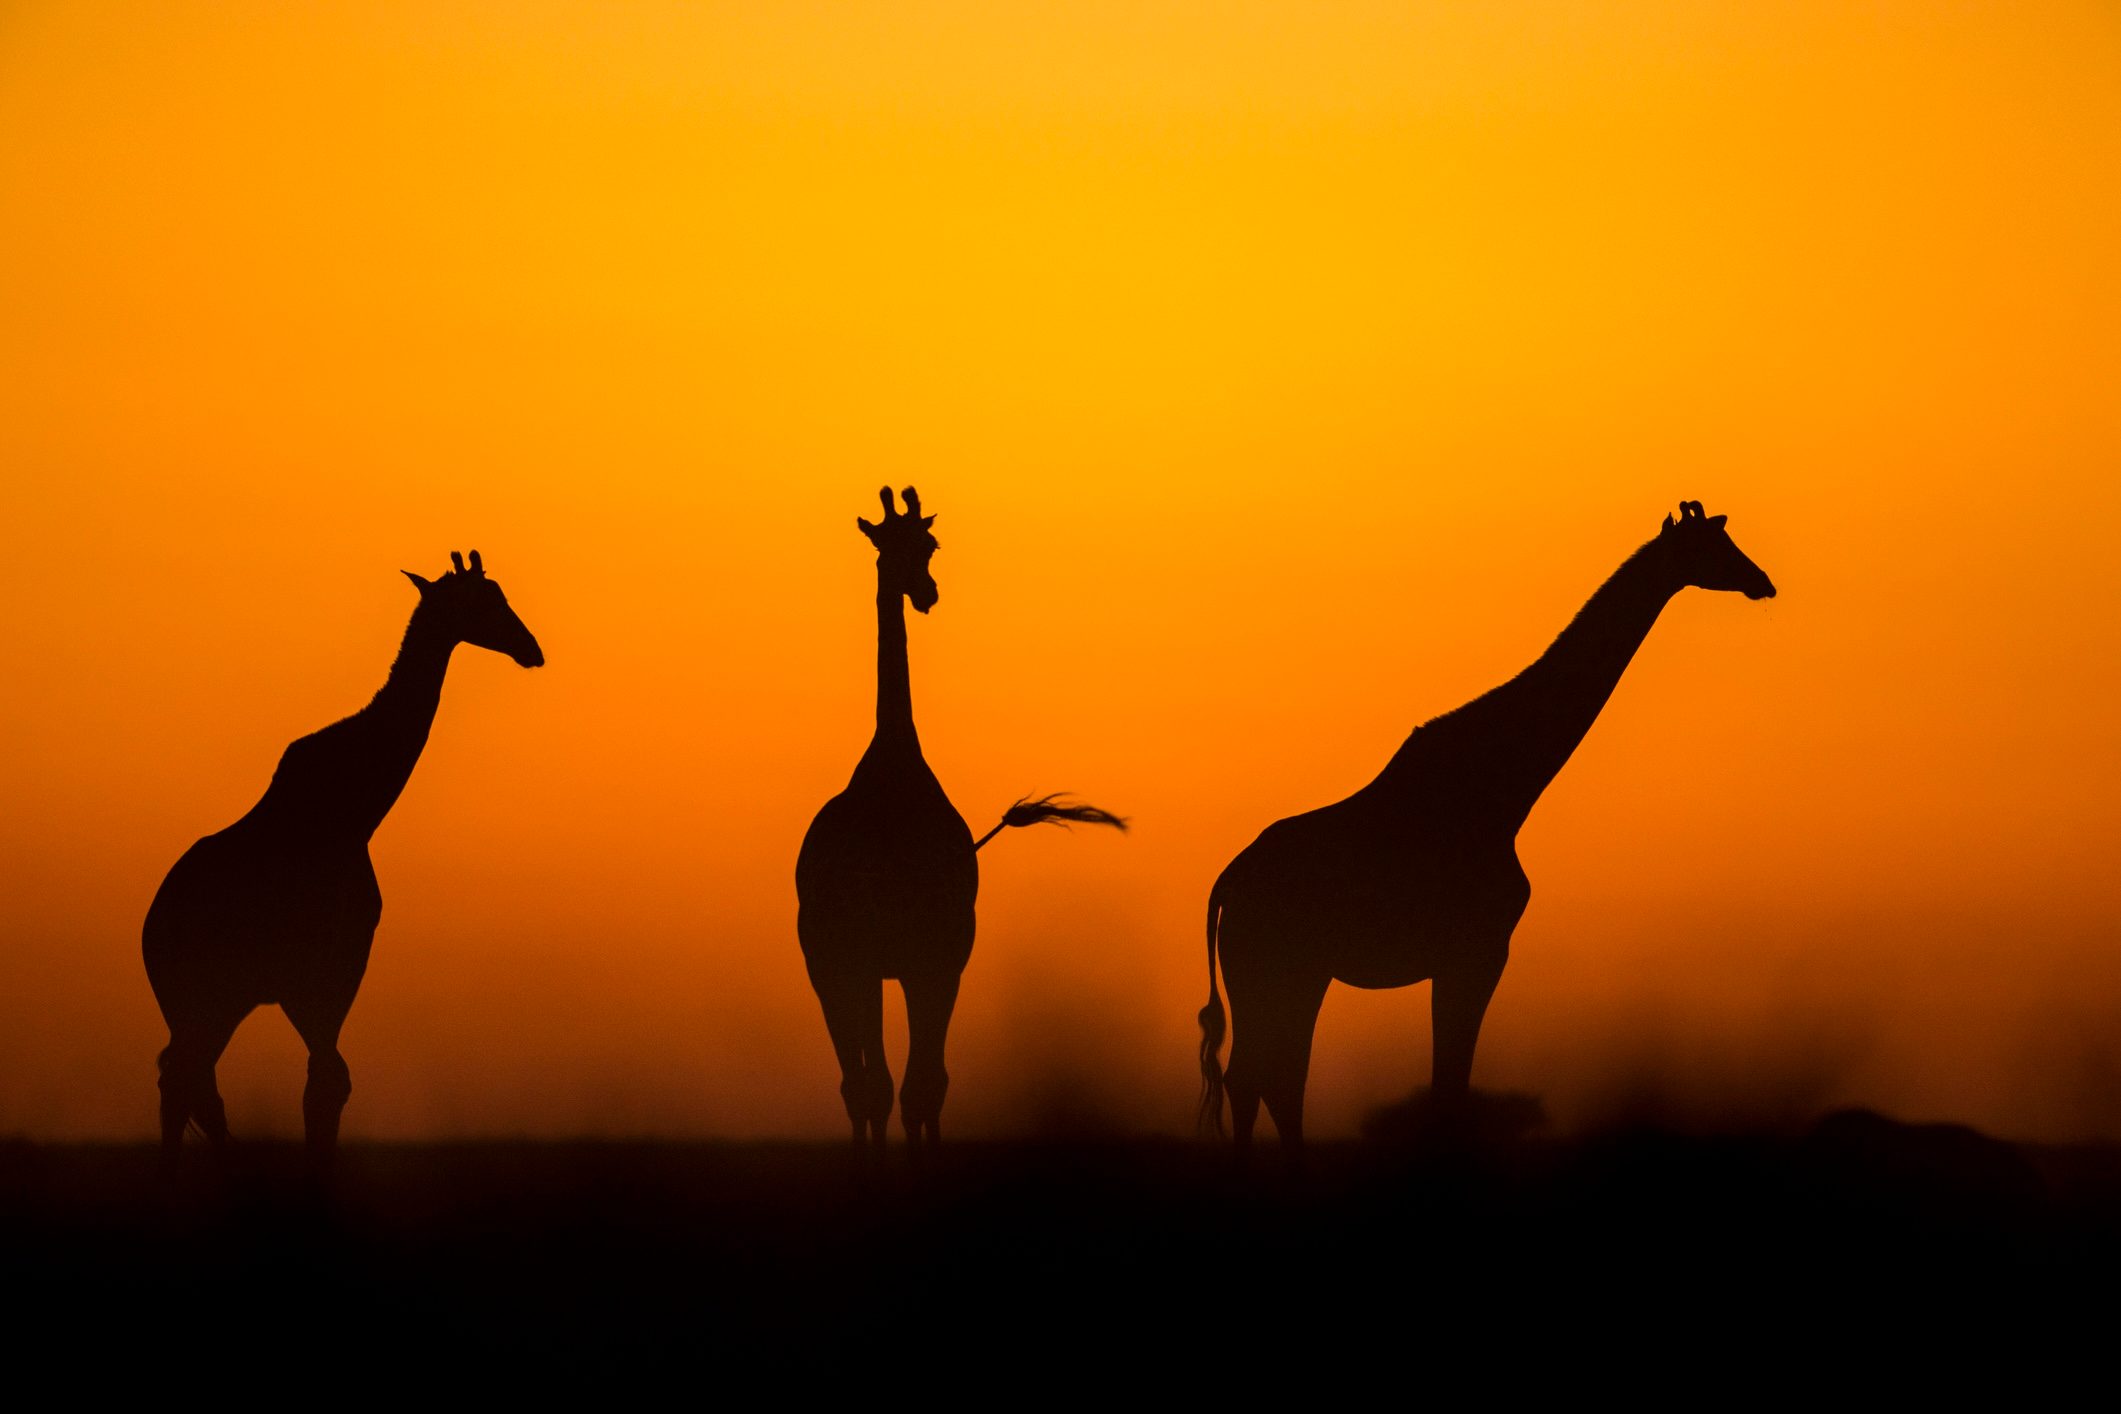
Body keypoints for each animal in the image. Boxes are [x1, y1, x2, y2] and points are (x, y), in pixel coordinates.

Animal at [143, 551, 544, 1169]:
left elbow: (328, 1080)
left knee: (190, 1079)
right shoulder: (325, 969)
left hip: (208, 1000)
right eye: (481, 601)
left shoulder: (324, 974)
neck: (357, 812)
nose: (531, 649)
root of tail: (152, 925)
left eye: (501, 594)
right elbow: (327, 1081)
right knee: (185, 1079)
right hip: (205, 994)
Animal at [796, 487, 1126, 1153]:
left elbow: (926, 1083)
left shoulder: (940, 956)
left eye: (929, 544)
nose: (925, 593)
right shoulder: (880, 958)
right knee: (859, 1083)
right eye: (887, 545)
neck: (893, 772)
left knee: (880, 1081)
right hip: (832, 963)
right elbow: (891, 1084)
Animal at [1197, 501, 1776, 1153]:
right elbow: (1449, 1084)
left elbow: (1447, 1082)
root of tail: (1226, 884)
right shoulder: (1477, 951)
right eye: (1714, 547)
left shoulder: (1465, 957)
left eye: (1729, 540)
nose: (1763, 581)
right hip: (1275, 967)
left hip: (1289, 973)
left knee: (1268, 1077)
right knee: (1260, 1076)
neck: (1505, 792)